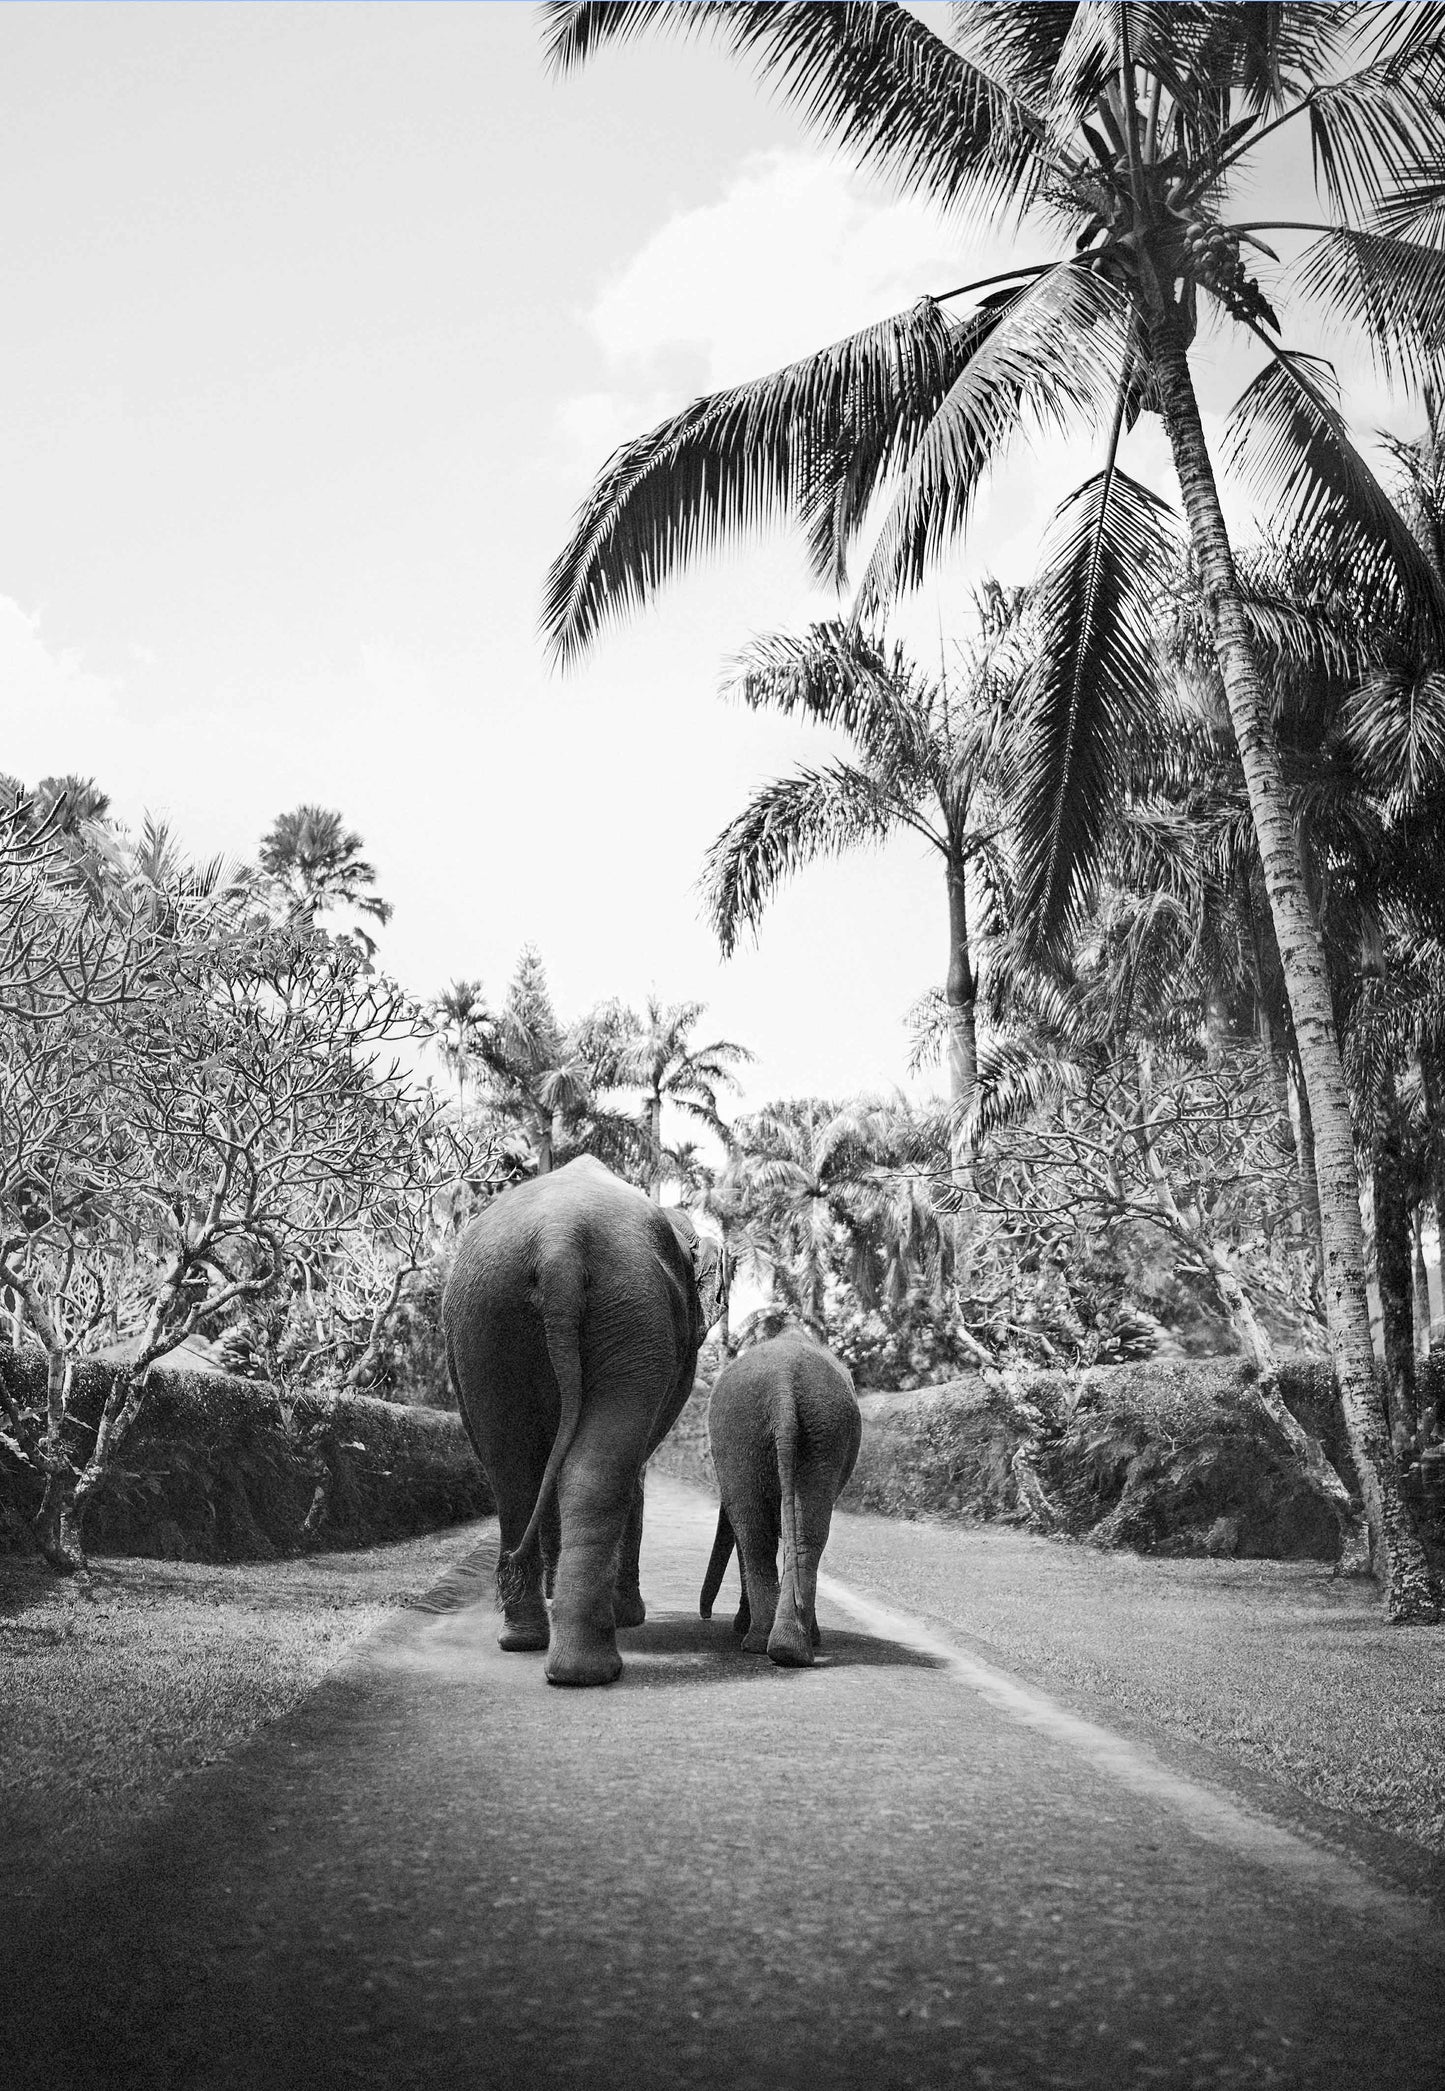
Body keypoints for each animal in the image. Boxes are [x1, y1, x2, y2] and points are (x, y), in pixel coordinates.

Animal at [442, 1155, 727, 1687]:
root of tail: (559, 1240)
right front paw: (628, 1615)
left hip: (487, 1317)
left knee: (512, 1473)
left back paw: (530, 1643)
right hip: (629, 1310)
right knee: (598, 1471)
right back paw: (589, 1666)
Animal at [699, 1329, 861, 1668]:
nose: (705, 1615)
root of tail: (783, 1383)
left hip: (798, 1429)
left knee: (760, 1534)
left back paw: (770, 1645)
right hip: (807, 1429)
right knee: (780, 1535)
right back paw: (784, 1648)